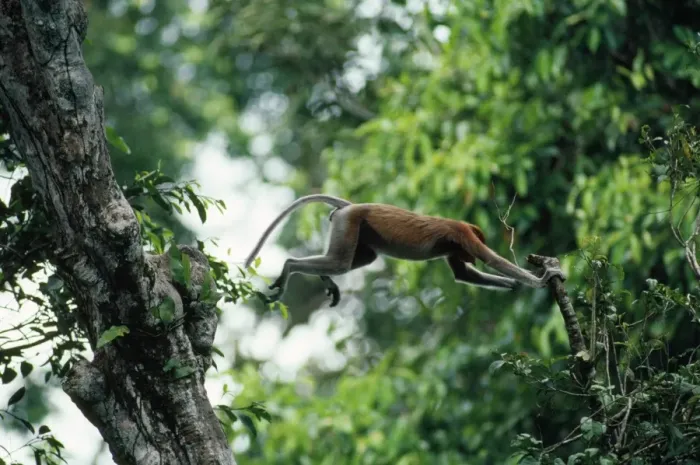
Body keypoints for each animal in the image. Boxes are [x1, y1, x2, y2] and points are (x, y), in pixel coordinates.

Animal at [244, 194, 565, 307]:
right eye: (470, 253)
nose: (469, 257)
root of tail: (351, 206)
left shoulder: (456, 245)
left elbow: (462, 275)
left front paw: (514, 285)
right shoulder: (463, 236)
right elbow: (492, 259)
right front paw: (544, 277)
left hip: (354, 228)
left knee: (355, 260)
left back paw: (325, 280)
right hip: (349, 223)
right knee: (339, 261)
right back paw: (288, 267)